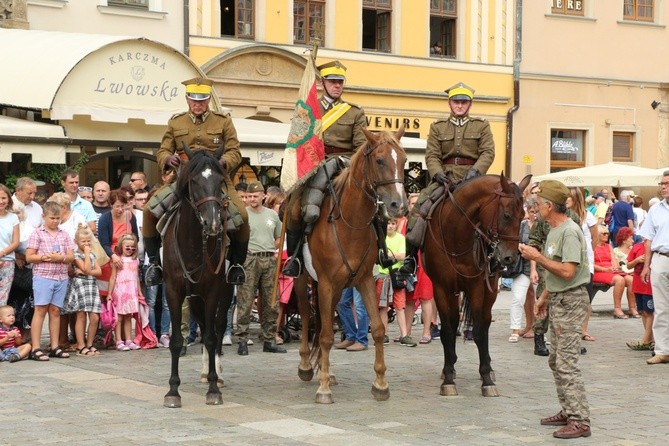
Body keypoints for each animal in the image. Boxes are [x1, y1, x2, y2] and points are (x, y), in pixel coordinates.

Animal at [162, 147, 234, 408]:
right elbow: (176, 341)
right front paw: (173, 391)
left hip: (225, 292)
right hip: (193, 297)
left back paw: (217, 375)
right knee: (203, 325)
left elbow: (212, 338)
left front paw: (214, 389)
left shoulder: (213, 291)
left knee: (217, 327)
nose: (213, 222)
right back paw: (205, 372)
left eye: (220, 180)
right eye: (194, 181)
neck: (194, 243)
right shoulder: (173, 291)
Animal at [286, 128, 408, 404]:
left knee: (324, 320)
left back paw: (327, 371)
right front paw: (323, 389)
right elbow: (326, 335)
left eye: (405, 160)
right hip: (303, 280)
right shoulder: (326, 283)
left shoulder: (363, 281)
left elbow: (377, 329)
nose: (399, 206)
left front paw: (380, 384)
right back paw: (307, 367)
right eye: (380, 160)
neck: (350, 223)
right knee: (308, 316)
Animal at [422, 174, 532, 398]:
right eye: (506, 215)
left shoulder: (476, 287)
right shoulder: (441, 287)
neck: (455, 235)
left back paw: (488, 368)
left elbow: (480, 331)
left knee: (486, 322)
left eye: (523, 215)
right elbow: (448, 329)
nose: (510, 258)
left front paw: (486, 378)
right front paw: (448, 376)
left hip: (489, 291)